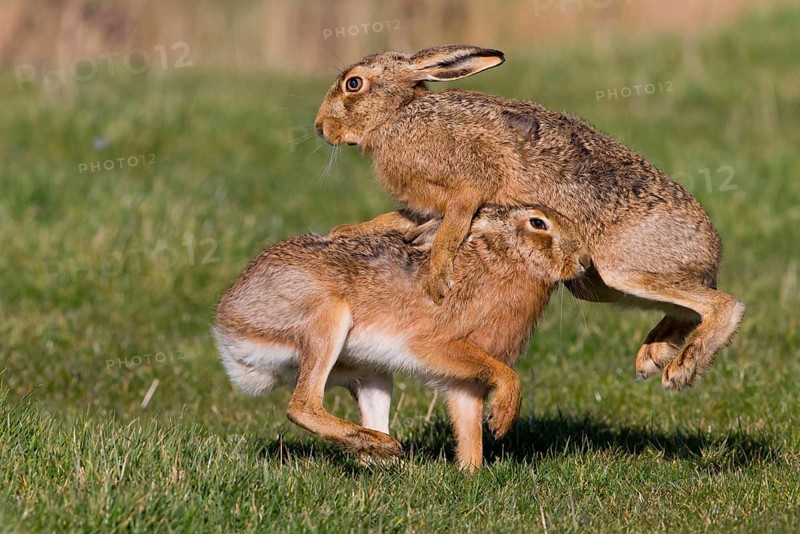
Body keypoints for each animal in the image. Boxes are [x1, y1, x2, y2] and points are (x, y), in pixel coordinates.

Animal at [215, 204, 590, 469]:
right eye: (538, 223)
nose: (583, 261)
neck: (504, 258)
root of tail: (226, 324)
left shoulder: (465, 382)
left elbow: (468, 425)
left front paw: (471, 472)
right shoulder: (435, 346)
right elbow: (507, 375)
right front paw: (501, 422)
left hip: (372, 375)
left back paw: (381, 454)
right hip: (326, 319)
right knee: (303, 406)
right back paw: (387, 446)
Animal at [314, 44, 745, 392]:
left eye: (354, 84)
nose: (320, 129)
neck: (397, 116)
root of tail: (711, 254)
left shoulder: (466, 188)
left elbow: (450, 229)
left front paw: (438, 279)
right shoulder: (424, 207)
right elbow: (401, 219)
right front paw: (344, 231)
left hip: (624, 270)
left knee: (723, 304)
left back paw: (680, 369)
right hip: (598, 285)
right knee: (685, 308)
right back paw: (652, 356)